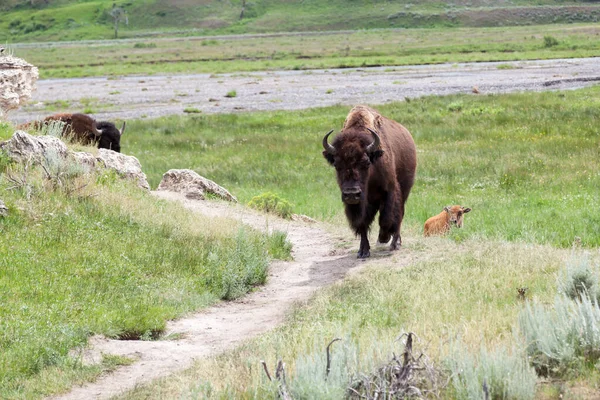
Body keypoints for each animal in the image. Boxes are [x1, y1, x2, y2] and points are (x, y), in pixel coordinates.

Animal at [324, 104, 418, 258]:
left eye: (366, 162)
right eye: (337, 165)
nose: (351, 194)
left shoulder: (390, 190)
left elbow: (386, 218)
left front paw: (383, 238)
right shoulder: (361, 204)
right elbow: (362, 224)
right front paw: (363, 251)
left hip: (405, 189)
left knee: (399, 215)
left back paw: (395, 243)